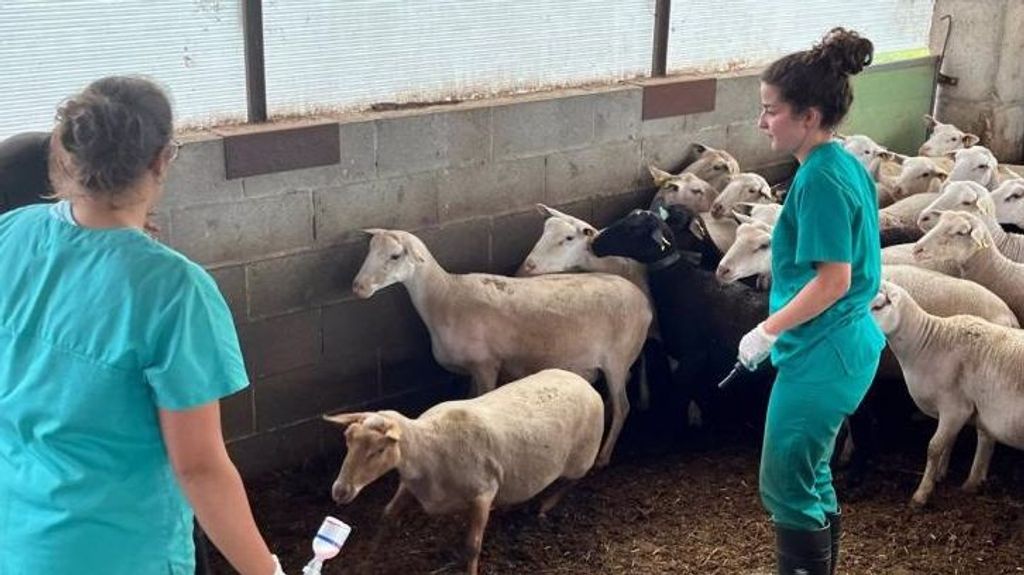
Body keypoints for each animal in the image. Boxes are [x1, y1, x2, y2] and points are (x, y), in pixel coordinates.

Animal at [323, 366, 602, 572]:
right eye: (347, 439)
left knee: (573, 480)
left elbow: (472, 547)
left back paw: (546, 505)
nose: (339, 491)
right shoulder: (410, 485)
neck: (428, 449)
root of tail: (582, 381)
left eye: (379, 449)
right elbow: (387, 515)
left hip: (582, 457)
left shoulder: (483, 493)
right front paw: (369, 559)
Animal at [352, 228, 651, 466]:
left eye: (395, 256)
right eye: (369, 251)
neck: (445, 297)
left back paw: (604, 456)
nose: (358, 287)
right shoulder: (474, 370)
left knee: (624, 406)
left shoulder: (486, 365)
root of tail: (643, 301)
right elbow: (468, 398)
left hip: (617, 359)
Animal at [868, 280, 1024, 503]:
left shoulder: (955, 408)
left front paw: (922, 494)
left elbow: (934, 447)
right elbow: (948, 443)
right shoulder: (957, 412)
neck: (927, 344)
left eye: (879, 306)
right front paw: (940, 475)